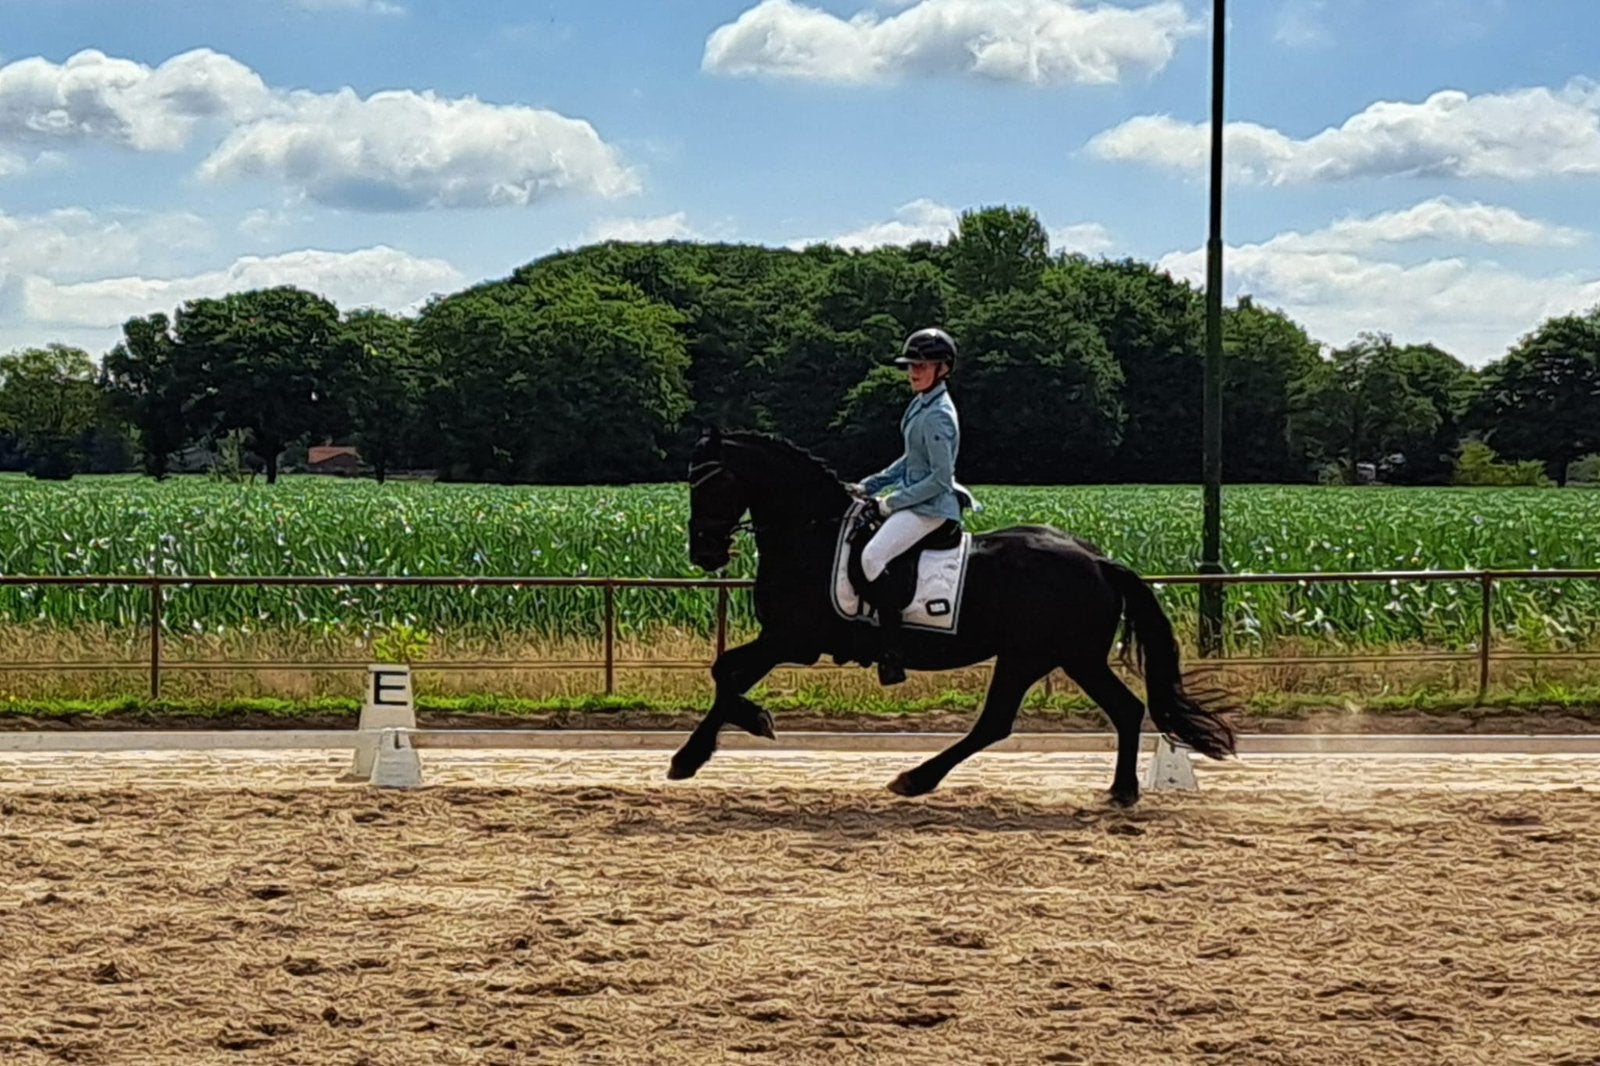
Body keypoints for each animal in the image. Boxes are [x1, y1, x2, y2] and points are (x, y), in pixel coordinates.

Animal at [674, 428, 1238, 805]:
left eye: (709, 483)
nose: (703, 553)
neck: (811, 532)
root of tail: (1098, 559)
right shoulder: (783, 639)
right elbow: (725, 674)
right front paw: (703, 749)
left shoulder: (793, 639)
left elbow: (725, 673)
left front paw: (731, 734)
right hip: (1062, 658)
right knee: (1117, 709)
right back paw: (1120, 791)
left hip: (1040, 656)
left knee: (1002, 721)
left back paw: (915, 779)